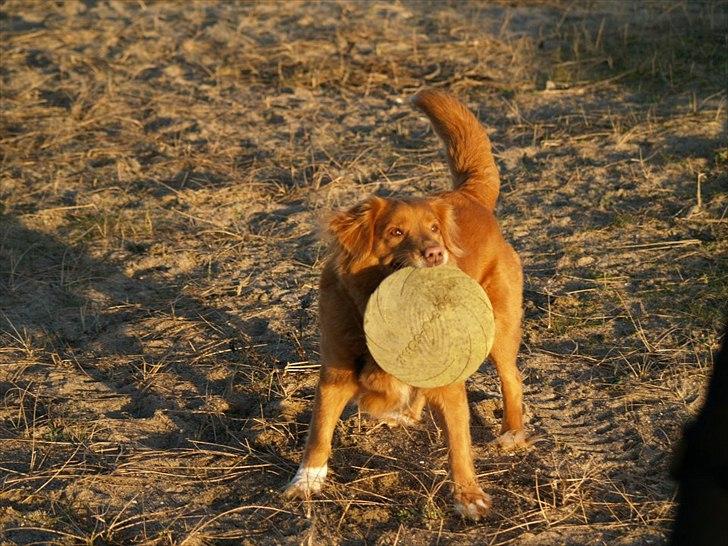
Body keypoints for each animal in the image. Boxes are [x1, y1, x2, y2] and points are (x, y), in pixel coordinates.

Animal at [282, 87, 528, 516]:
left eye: (433, 229)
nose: (435, 253)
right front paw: (306, 482)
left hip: (499, 329)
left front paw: (468, 496)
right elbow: (319, 431)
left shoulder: (449, 382)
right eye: (396, 232)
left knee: (511, 379)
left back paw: (512, 432)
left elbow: (459, 443)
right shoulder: (335, 373)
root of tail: (468, 196)